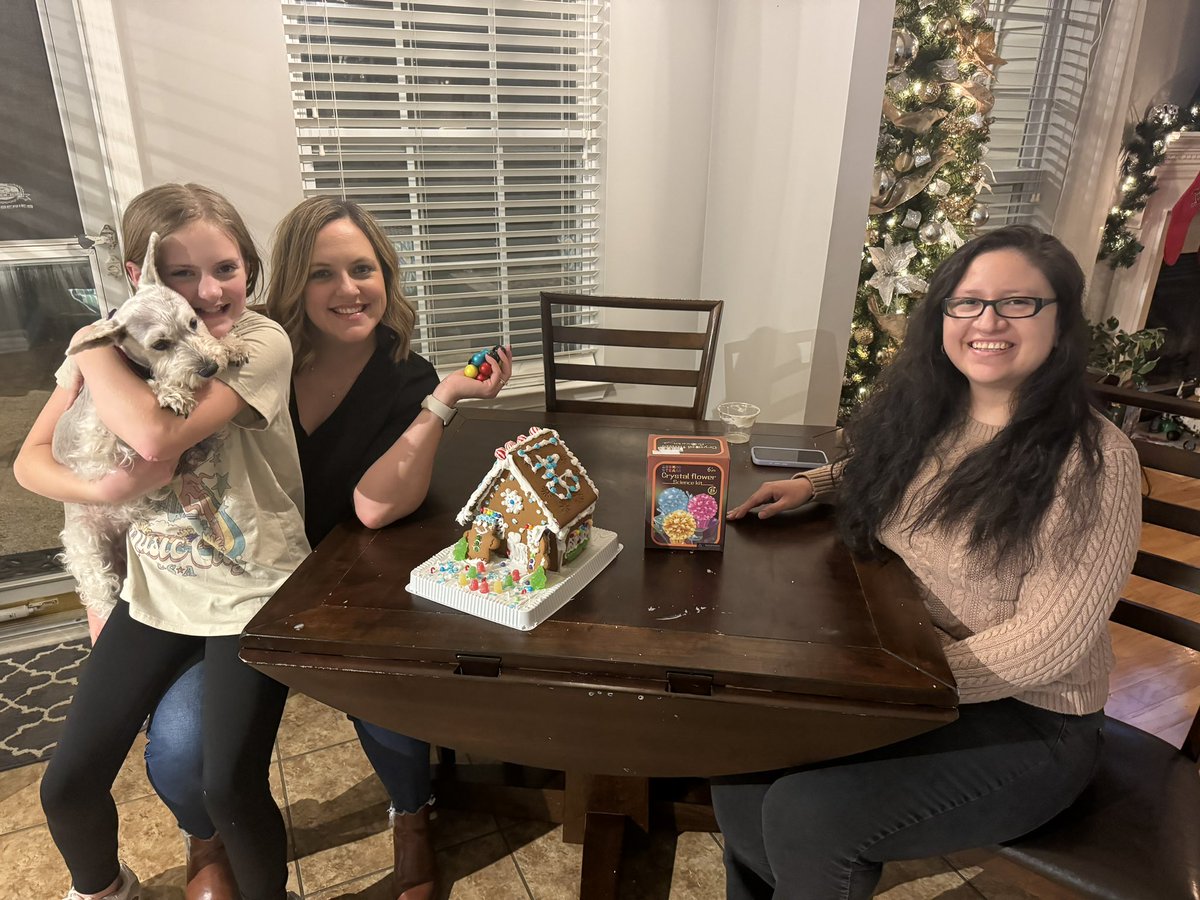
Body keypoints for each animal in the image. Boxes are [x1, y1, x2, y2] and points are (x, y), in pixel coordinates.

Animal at [53, 229, 248, 619]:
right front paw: (170, 391)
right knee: (97, 589)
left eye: (193, 321)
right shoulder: (100, 442)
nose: (209, 368)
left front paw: (230, 344)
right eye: (159, 343)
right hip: (85, 547)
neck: (134, 367)